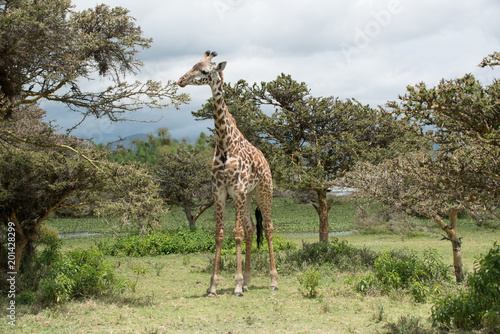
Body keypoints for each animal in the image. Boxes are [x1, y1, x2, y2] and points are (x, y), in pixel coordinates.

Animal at [178, 51, 280, 296]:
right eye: (192, 66)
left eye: (205, 71)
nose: (181, 80)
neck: (225, 143)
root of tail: (266, 161)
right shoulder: (220, 192)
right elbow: (220, 234)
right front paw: (213, 286)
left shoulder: (238, 189)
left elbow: (237, 234)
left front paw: (236, 285)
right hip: (248, 196)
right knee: (252, 228)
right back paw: (249, 280)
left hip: (263, 191)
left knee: (268, 228)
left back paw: (273, 281)